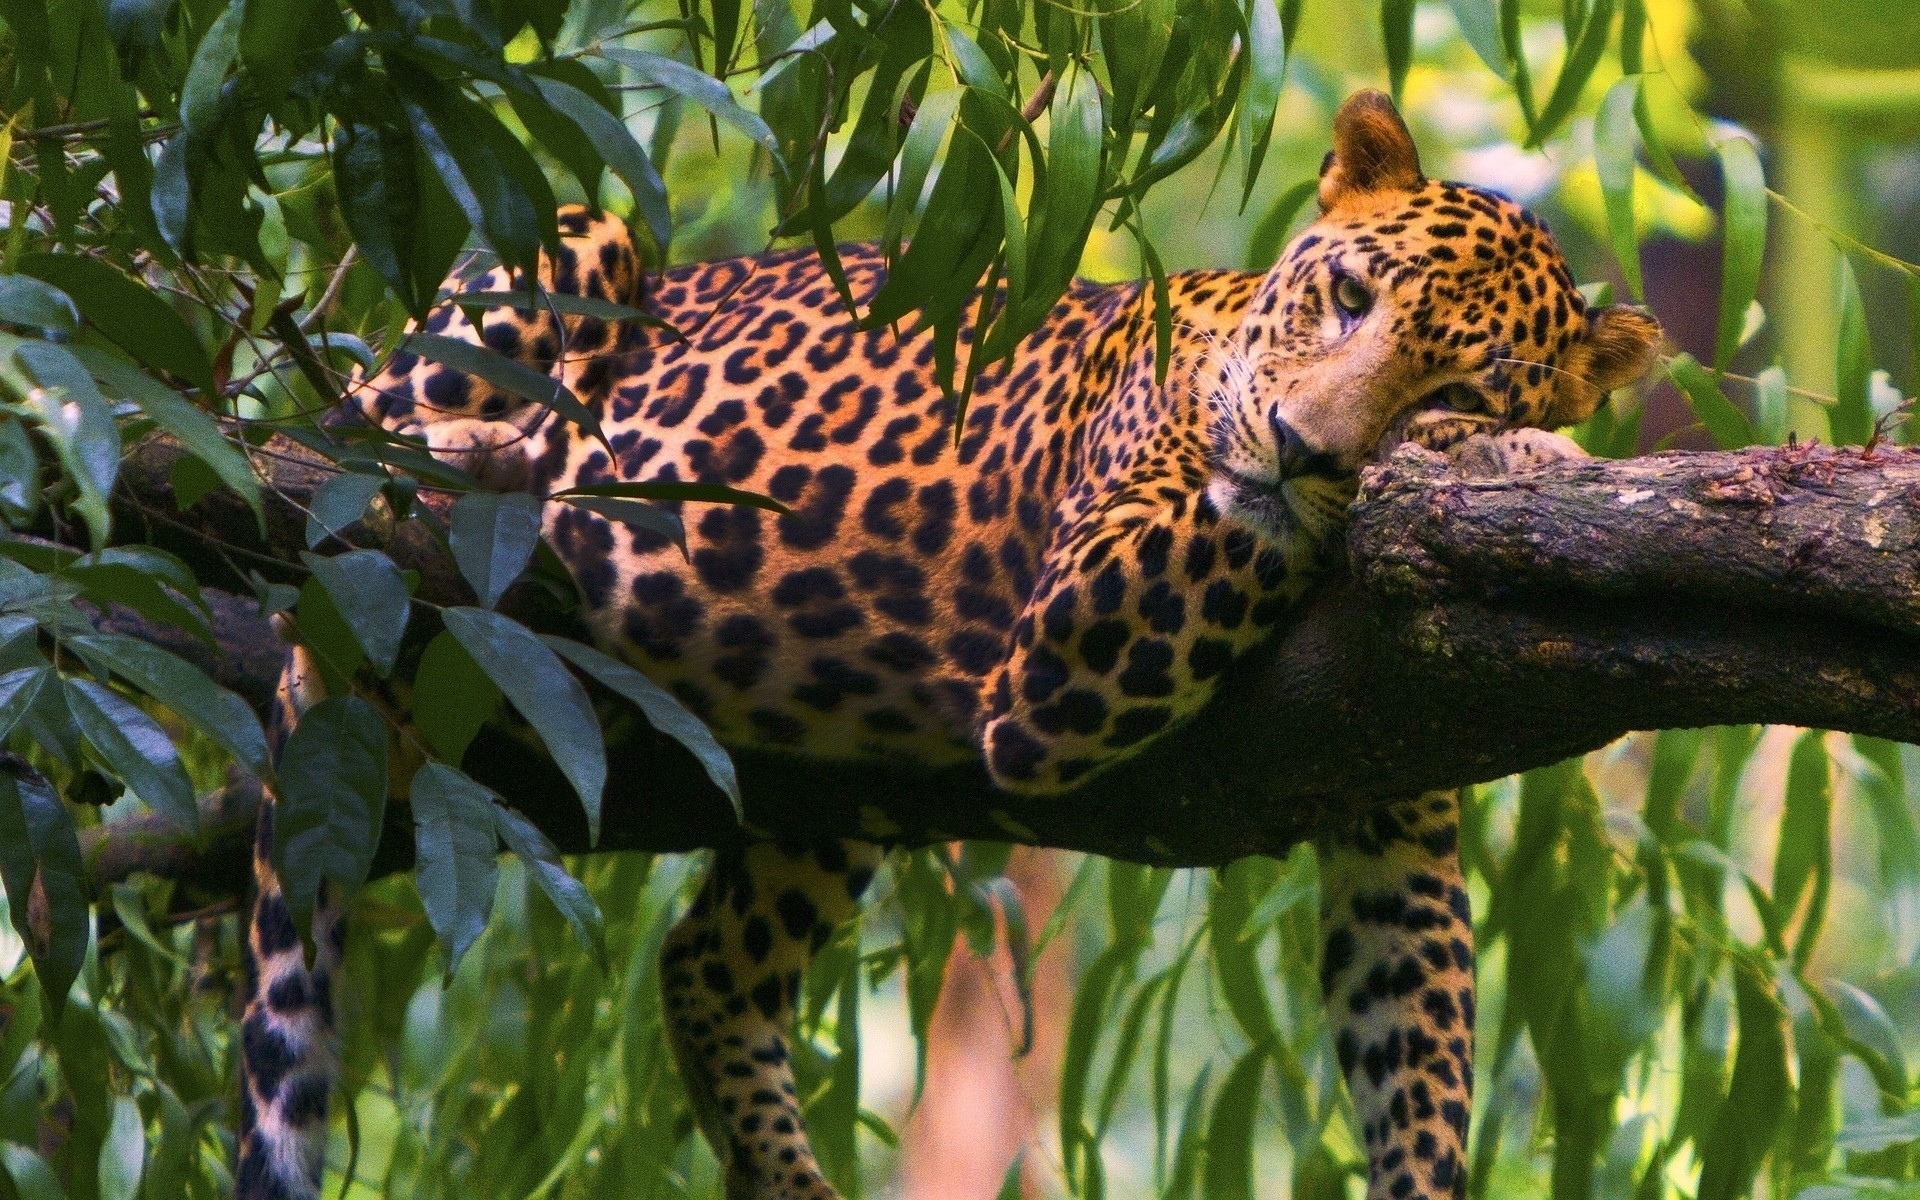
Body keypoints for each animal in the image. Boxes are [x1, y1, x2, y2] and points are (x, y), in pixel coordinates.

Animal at [237, 89, 1661, 1200]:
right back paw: (492, 455)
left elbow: (1418, 1057)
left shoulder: (1392, 805)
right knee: (337, 435)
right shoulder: (1081, 631)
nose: (1301, 447)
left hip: (826, 776)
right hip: (566, 250)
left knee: (704, 967)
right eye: (1350, 295)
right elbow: (1246, 526)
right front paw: (1520, 455)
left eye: (1456, 375)